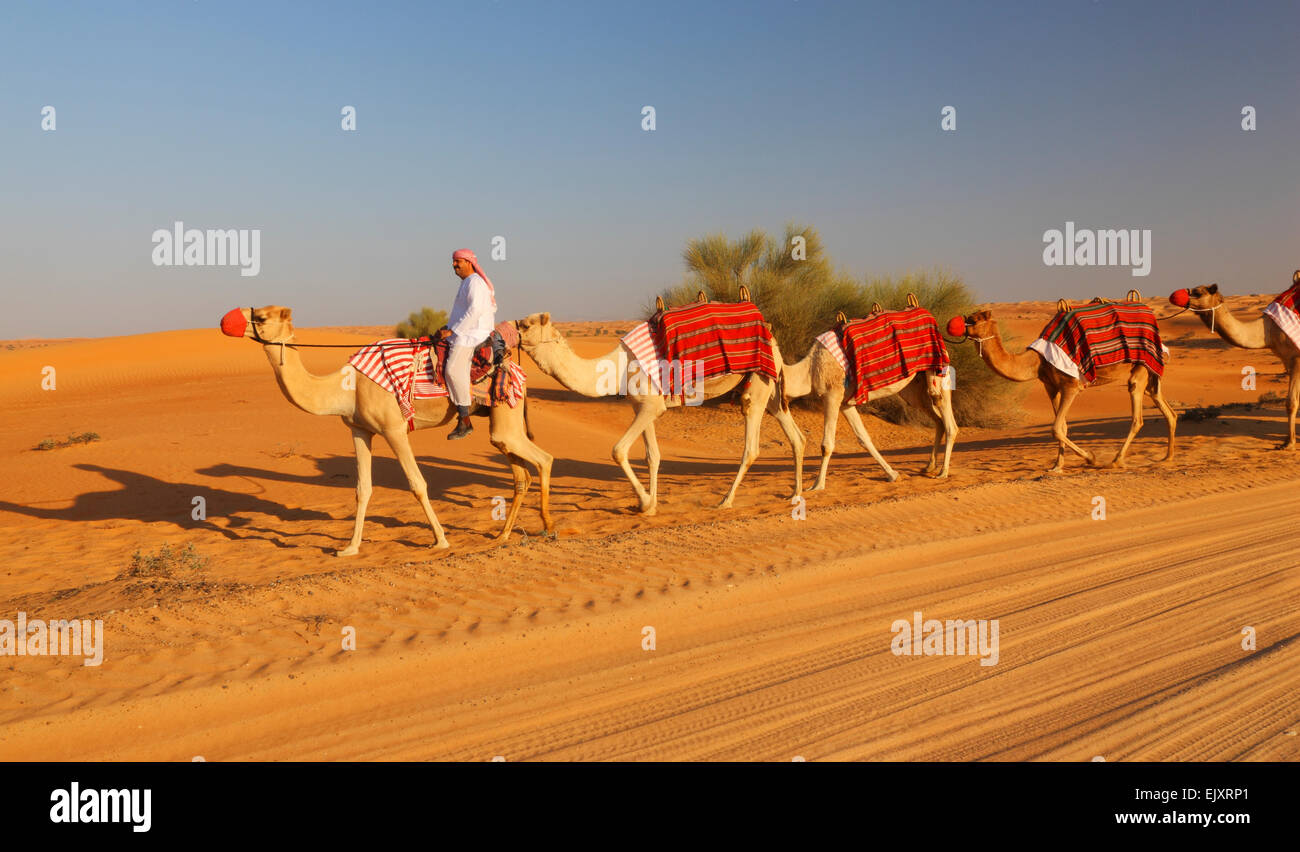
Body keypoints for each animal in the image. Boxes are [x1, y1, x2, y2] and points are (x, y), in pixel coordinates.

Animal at [226, 304, 551, 554]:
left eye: (262, 317)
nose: (227, 319)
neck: (347, 387)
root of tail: (516, 367)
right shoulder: (359, 430)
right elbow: (362, 489)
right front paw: (350, 547)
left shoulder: (394, 429)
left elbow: (418, 484)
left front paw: (440, 540)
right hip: (502, 423)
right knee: (521, 474)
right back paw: (504, 534)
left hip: (506, 414)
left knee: (544, 459)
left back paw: (548, 528)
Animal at [509, 312, 800, 512]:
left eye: (526, 325)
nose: (508, 328)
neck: (616, 368)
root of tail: (774, 341)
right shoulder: (643, 405)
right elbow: (653, 456)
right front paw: (652, 504)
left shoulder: (651, 406)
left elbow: (618, 450)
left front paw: (645, 502)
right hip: (770, 388)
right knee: (796, 435)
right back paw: (796, 494)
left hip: (757, 386)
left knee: (751, 445)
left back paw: (726, 501)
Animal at [774, 335, 961, 489]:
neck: (810, 369)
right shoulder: (845, 403)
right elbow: (863, 438)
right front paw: (893, 475)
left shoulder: (832, 395)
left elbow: (826, 444)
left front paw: (817, 485)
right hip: (914, 392)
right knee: (938, 421)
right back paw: (929, 466)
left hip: (941, 377)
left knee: (950, 424)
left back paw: (942, 472)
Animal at [951, 308, 1175, 473]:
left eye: (974, 319)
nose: (955, 324)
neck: (1036, 362)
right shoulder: (1051, 387)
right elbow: (1063, 427)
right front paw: (1057, 466)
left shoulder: (1071, 386)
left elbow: (1056, 428)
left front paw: (1091, 458)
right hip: (1149, 372)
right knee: (1165, 407)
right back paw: (1167, 457)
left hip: (1141, 367)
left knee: (1137, 413)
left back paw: (1116, 461)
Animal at [1180, 274, 1300, 450]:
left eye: (1198, 292)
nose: (1176, 296)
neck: (1267, 331)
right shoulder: (1287, 360)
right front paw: (1286, 440)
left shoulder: (1297, 357)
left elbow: (1291, 402)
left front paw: (1289, 444)